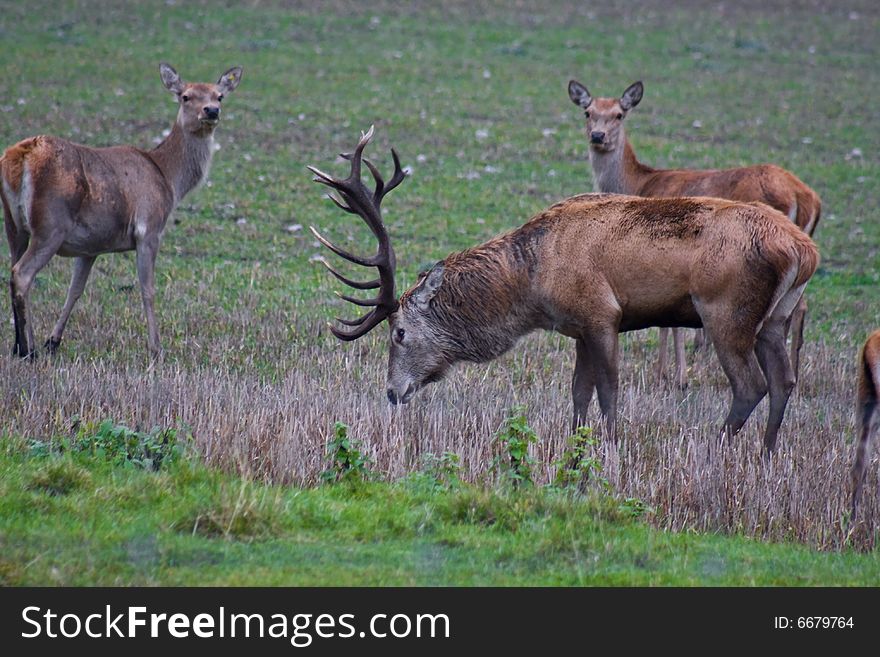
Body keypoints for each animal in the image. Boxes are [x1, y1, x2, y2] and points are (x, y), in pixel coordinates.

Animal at [0, 62, 241, 358]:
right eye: (185, 96)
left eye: (220, 96)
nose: (211, 111)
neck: (167, 178)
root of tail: (20, 156)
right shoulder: (149, 228)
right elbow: (148, 289)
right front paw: (156, 348)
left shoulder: (90, 246)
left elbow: (75, 290)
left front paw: (53, 341)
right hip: (50, 225)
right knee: (22, 274)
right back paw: (27, 349)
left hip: (14, 224)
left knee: (13, 272)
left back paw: (19, 345)